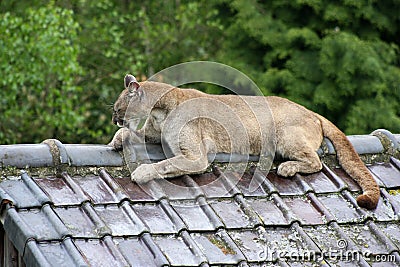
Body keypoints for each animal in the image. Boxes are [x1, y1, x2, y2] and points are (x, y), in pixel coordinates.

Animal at [109, 74, 382, 210]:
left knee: (315, 160)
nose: (114, 119)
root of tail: (311, 111)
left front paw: (142, 172)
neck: (159, 110)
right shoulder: (154, 135)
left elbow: (165, 164)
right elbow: (135, 135)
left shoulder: (196, 156)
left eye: (117, 108)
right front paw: (117, 140)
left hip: (284, 136)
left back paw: (287, 167)